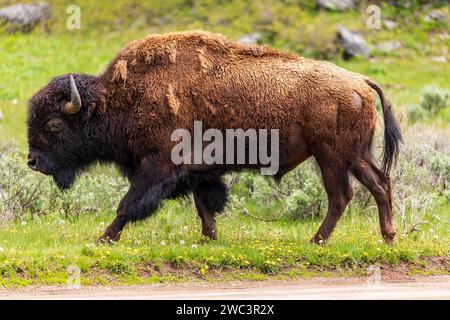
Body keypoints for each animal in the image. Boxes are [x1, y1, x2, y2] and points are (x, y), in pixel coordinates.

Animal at [27, 30, 400, 245]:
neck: (121, 97)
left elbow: (128, 204)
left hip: (331, 157)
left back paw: (317, 241)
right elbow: (203, 203)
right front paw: (209, 238)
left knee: (341, 196)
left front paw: (104, 238)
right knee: (379, 184)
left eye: (55, 125)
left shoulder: (158, 165)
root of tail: (359, 81)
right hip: (356, 155)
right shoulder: (196, 170)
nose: (33, 161)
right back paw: (388, 236)